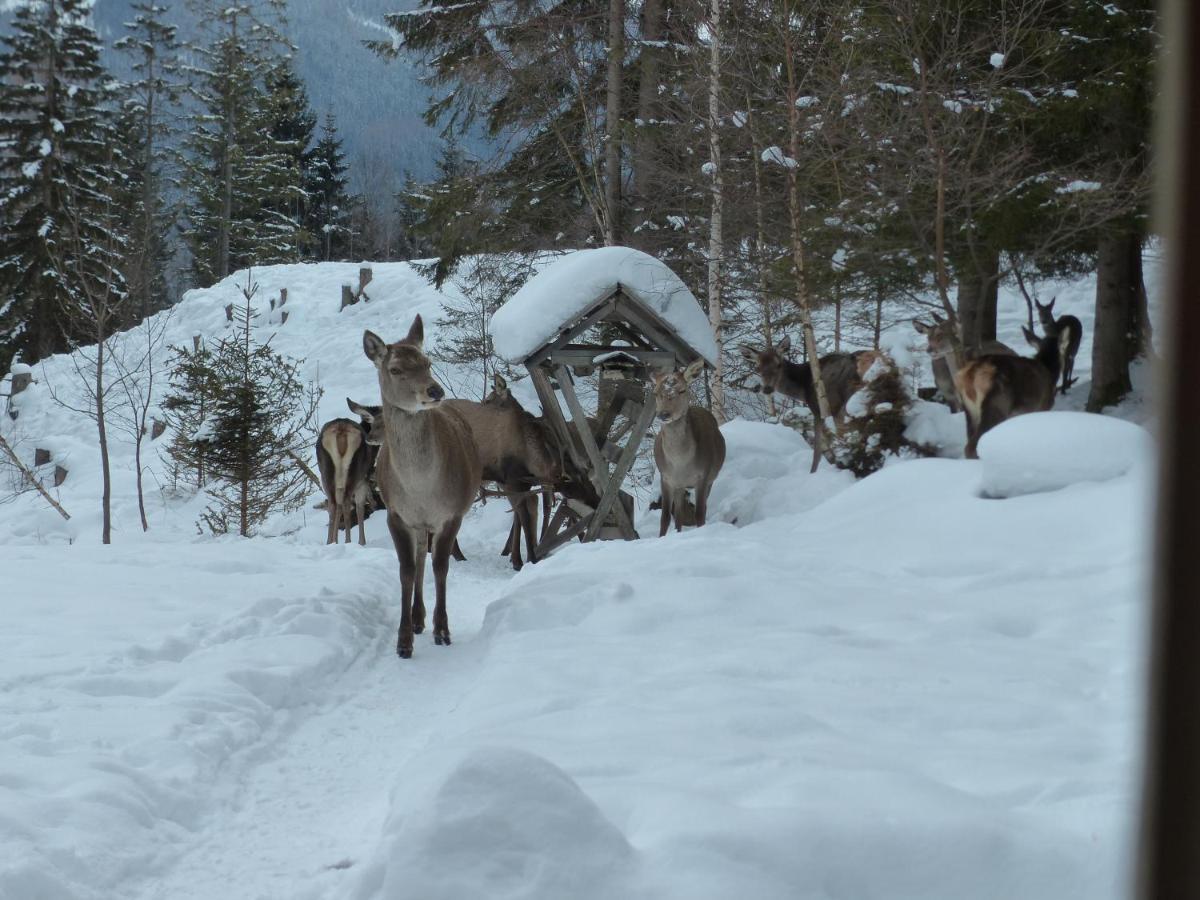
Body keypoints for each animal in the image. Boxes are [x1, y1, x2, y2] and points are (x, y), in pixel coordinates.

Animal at [360, 319, 482, 662]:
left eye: (427, 362)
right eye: (396, 369)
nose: (435, 390)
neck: (421, 488)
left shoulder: (452, 513)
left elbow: (441, 566)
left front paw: (443, 630)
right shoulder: (396, 514)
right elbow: (406, 570)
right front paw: (403, 641)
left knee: (427, 560)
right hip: (416, 524)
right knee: (418, 560)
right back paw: (417, 618)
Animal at [652, 362, 724, 540]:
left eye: (682, 390)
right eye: (655, 392)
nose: (664, 414)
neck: (680, 463)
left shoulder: (703, 476)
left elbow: (699, 513)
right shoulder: (666, 477)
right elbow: (665, 517)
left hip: (711, 479)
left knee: (702, 508)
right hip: (679, 485)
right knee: (678, 513)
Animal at [739, 336, 873, 475]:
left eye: (779, 364)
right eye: (757, 368)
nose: (767, 389)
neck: (802, 389)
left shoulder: (819, 409)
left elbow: (818, 449)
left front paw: (813, 472)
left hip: (849, 404)